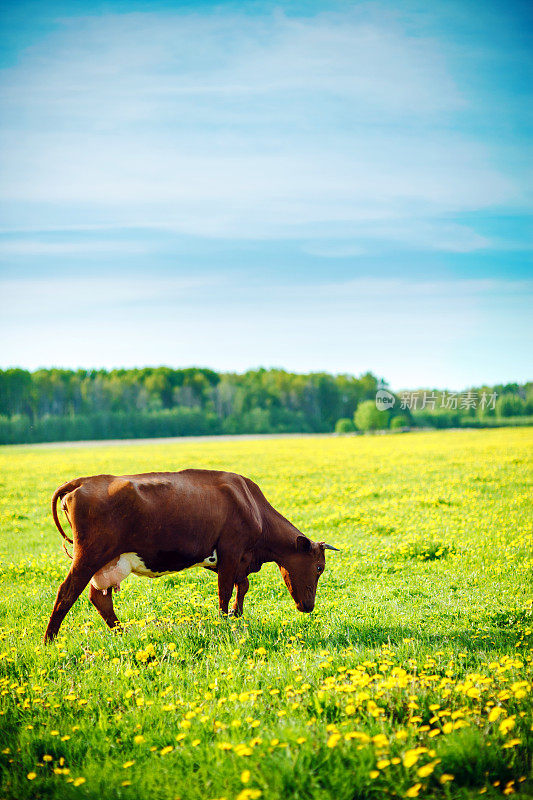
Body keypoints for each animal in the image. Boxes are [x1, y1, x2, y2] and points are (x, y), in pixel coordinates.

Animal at [45, 472, 336, 640]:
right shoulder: (231, 553)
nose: (308, 607)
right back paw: (50, 639)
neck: (251, 504)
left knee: (100, 599)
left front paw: (238, 614)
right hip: (89, 556)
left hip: (108, 563)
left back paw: (121, 632)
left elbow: (242, 586)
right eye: (319, 567)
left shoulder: (240, 560)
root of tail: (84, 481)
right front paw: (224, 620)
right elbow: (225, 590)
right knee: (66, 593)